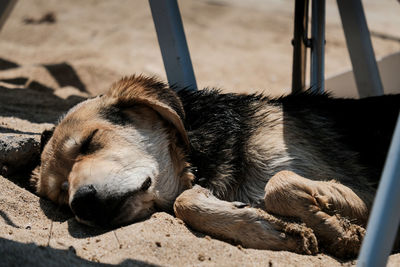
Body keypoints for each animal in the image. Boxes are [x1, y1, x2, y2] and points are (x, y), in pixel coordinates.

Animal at [32, 74, 400, 258]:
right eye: (60, 194)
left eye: (90, 141)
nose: (82, 204)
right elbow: (186, 201)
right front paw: (271, 229)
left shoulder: (372, 194)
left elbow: (279, 183)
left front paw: (336, 228)